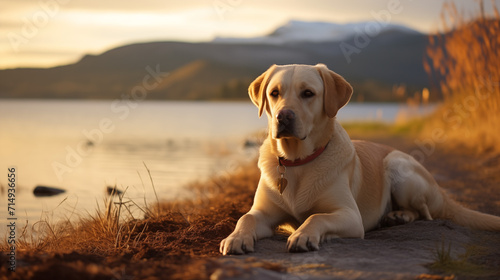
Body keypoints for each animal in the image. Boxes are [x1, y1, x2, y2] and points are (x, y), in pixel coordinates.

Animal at [221, 64, 500, 256]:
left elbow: (316, 217)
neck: (297, 160)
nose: (283, 117)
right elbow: (245, 218)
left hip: (397, 164)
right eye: (274, 93)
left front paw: (304, 235)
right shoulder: (263, 213)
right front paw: (236, 238)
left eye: (308, 93)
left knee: (425, 213)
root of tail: (441, 192)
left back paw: (399, 216)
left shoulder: (350, 216)